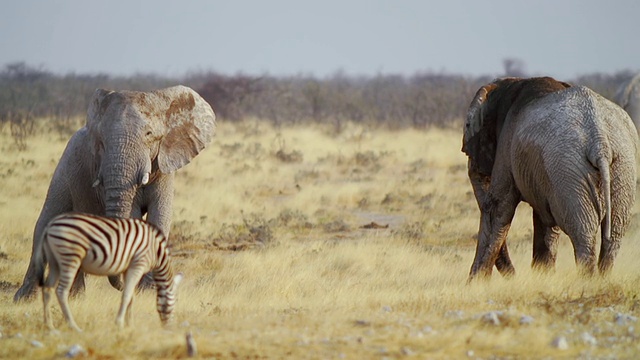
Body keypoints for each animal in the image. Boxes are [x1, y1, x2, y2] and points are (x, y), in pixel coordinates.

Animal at [12, 85, 216, 300]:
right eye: (101, 141)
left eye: (149, 134)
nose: (125, 282)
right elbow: (134, 216)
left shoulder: (163, 168)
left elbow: (160, 217)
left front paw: (148, 290)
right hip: (65, 166)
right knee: (45, 221)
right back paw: (27, 298)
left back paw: (76, 297)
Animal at [36, 211, 184, 332]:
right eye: (174, 303)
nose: (169, 328)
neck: (156, 250)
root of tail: (50, 225)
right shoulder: (138, 265)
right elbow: (127, 295)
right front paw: (119, 323)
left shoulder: (127, 268)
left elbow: (131, 296)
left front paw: (130, 325)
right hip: (70, 258)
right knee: (61, 291)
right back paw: (73, 326)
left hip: (54, 261)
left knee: (47, 288)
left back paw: (49, 325)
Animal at [462, 76, 636, 280]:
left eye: (467, 126)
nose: (515, 276)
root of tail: (599, 142)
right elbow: (544, 219)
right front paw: (542, 275)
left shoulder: (507, 145)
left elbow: (498, 205)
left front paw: (475, 283)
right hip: (621, 166)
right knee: (614, 232)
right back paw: (602, 279)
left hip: (569, 169)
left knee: (583, 231)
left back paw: (587, 281)